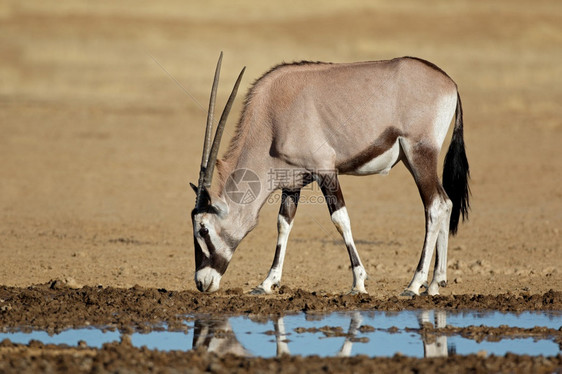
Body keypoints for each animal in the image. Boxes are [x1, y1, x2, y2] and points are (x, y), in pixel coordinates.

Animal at [190, 53, 466, 296]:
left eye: (203, 230)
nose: (202, 283)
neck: (272, 119)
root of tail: (450, 83)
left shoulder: (326, 171)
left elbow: (340, 219)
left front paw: (359, 282)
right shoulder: (292, 182)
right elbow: (283, 223)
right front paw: (268, 283)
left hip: (419, 154)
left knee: (435, 206)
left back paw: (414, 284)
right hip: (412, 159)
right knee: (447, 202)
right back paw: (435, 283)